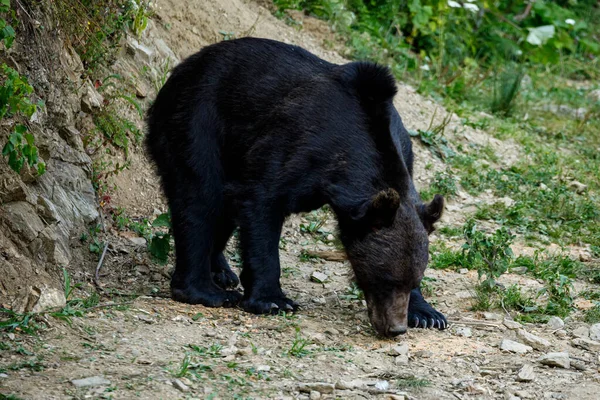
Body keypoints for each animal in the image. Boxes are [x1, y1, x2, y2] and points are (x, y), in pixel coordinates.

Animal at [144, 38, 446, 338]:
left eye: (411, 280)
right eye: (384, 279)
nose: (395, 329)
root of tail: (184, 66)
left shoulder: (404, 153)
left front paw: (428, 314)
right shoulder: (294, 145)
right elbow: (261, 203)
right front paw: (273, 300)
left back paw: (221, 271)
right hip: (196, 123)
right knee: (200, 197)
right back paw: (206, 290)